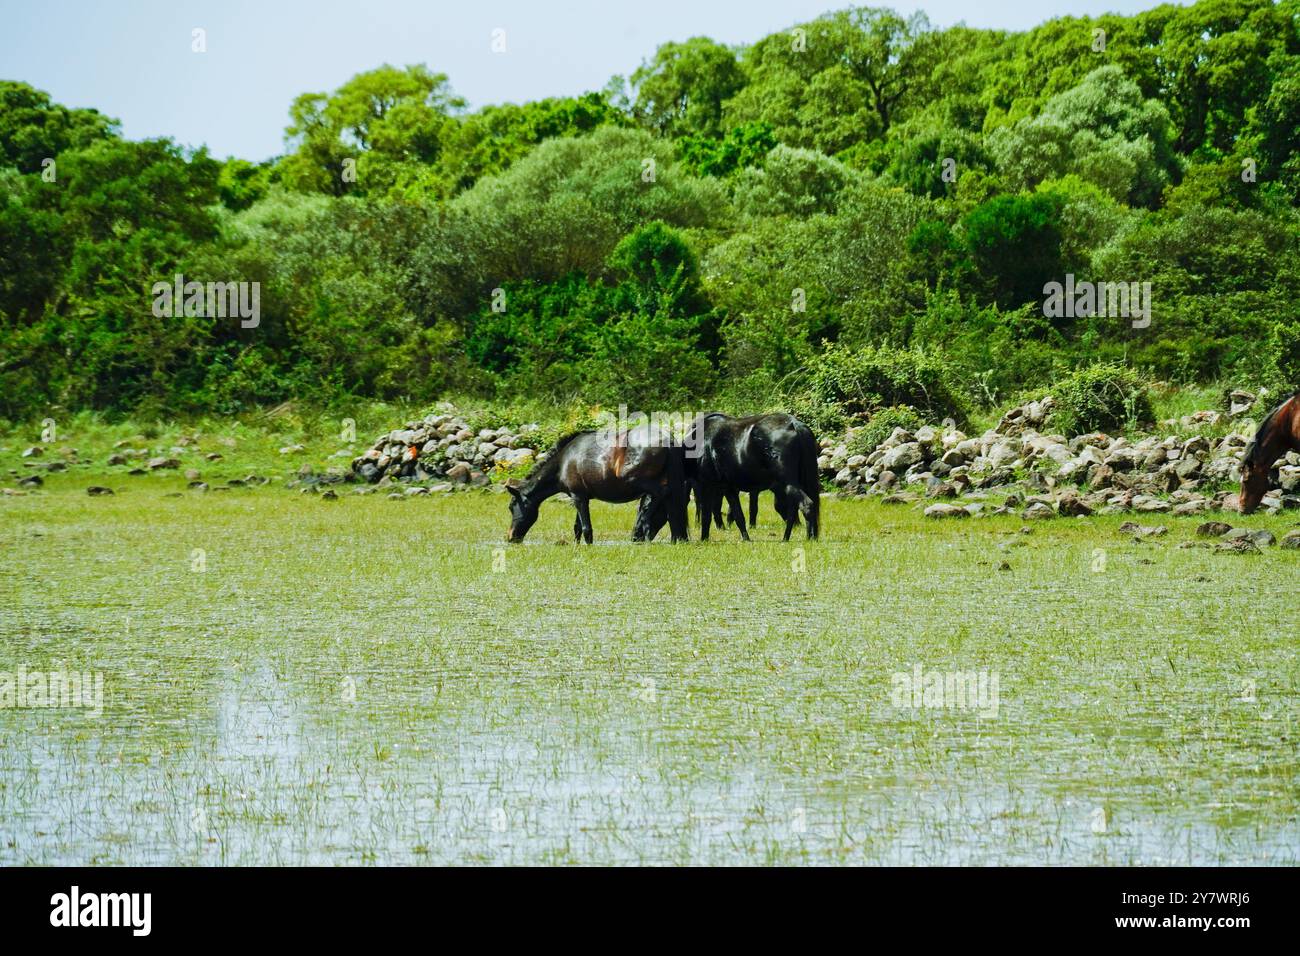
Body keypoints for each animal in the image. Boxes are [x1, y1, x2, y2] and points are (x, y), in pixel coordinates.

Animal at [506, 428, 689, 543]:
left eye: (512, 506)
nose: (510, 537)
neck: (564, 461)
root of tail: (667, 439)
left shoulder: (578, 497)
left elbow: (586, 527)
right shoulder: (580, 497)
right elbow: (577, 527)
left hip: (636, 480)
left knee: (661, 493)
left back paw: (644, 524)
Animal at [637, 412, 820, 541]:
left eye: (645, 508)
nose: (636, 535)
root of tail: (794, 424)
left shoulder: (707, 485)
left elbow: (706, 515)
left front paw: (704, 539)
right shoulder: (728, 488)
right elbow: (738, 516)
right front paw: (746, 539)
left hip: (788, 483)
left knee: (807, 505)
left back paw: (808, 538)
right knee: (795, 510)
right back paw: (787, 538)